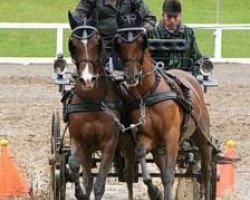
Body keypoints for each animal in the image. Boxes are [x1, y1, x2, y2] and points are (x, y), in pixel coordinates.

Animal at [67, 12, 135, 200]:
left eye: (97, 43)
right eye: (72, 45)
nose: (87, 80)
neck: (93, 101)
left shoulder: (110, 144)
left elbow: (99, 185)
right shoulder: (80, 141)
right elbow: (76, 168)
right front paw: (80, 193)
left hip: (127, 143)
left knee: (129, 176)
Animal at [114, 13, 214, 200]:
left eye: (141, 43)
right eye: (119, 44)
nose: (131, 76)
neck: (149, 93)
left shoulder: (171, 136)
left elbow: (168, 174)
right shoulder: (148, 137)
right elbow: (143, 159)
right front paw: (155, 192)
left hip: (202, 134)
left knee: (206, 170)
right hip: (159, 148)